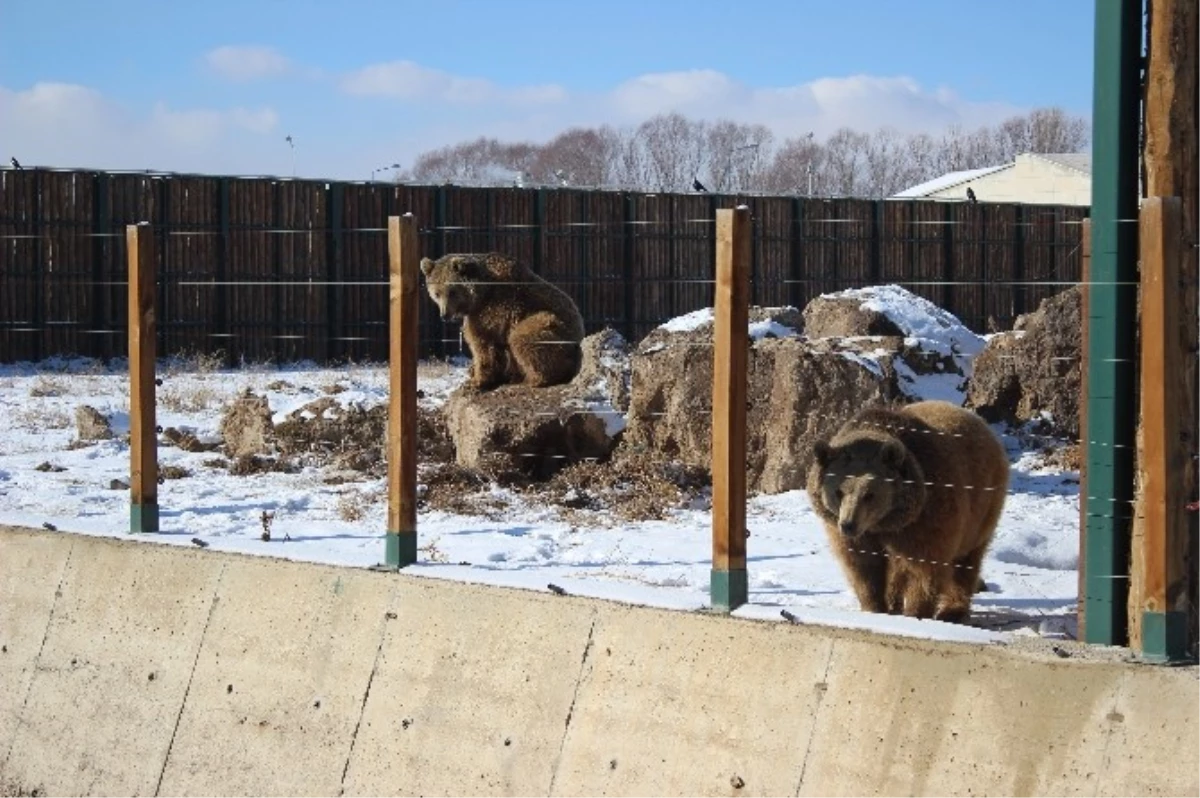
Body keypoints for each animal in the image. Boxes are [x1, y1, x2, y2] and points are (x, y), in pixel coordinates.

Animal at [422, 253, 585, 391]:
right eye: (437, 293)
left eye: (452, 292)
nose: (444, 315)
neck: (481, 294)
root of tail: (580, 331)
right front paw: (474, 372)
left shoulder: (492, 311)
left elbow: (482, 345)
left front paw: (475, 381)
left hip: (553, 324)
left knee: (523, 337)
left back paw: (534, 379)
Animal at [806, 398, 1012, 624]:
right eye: (838, 491)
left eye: (869, 494)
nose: (848, 525)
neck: (885, 521)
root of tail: (978, 420)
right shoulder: (858, 534)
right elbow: (863, 567)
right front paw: (874, 607)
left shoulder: (927, 515)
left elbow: (923, 568)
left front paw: (916, 612)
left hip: (982, 506)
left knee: (966, 561)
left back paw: (953, 610)